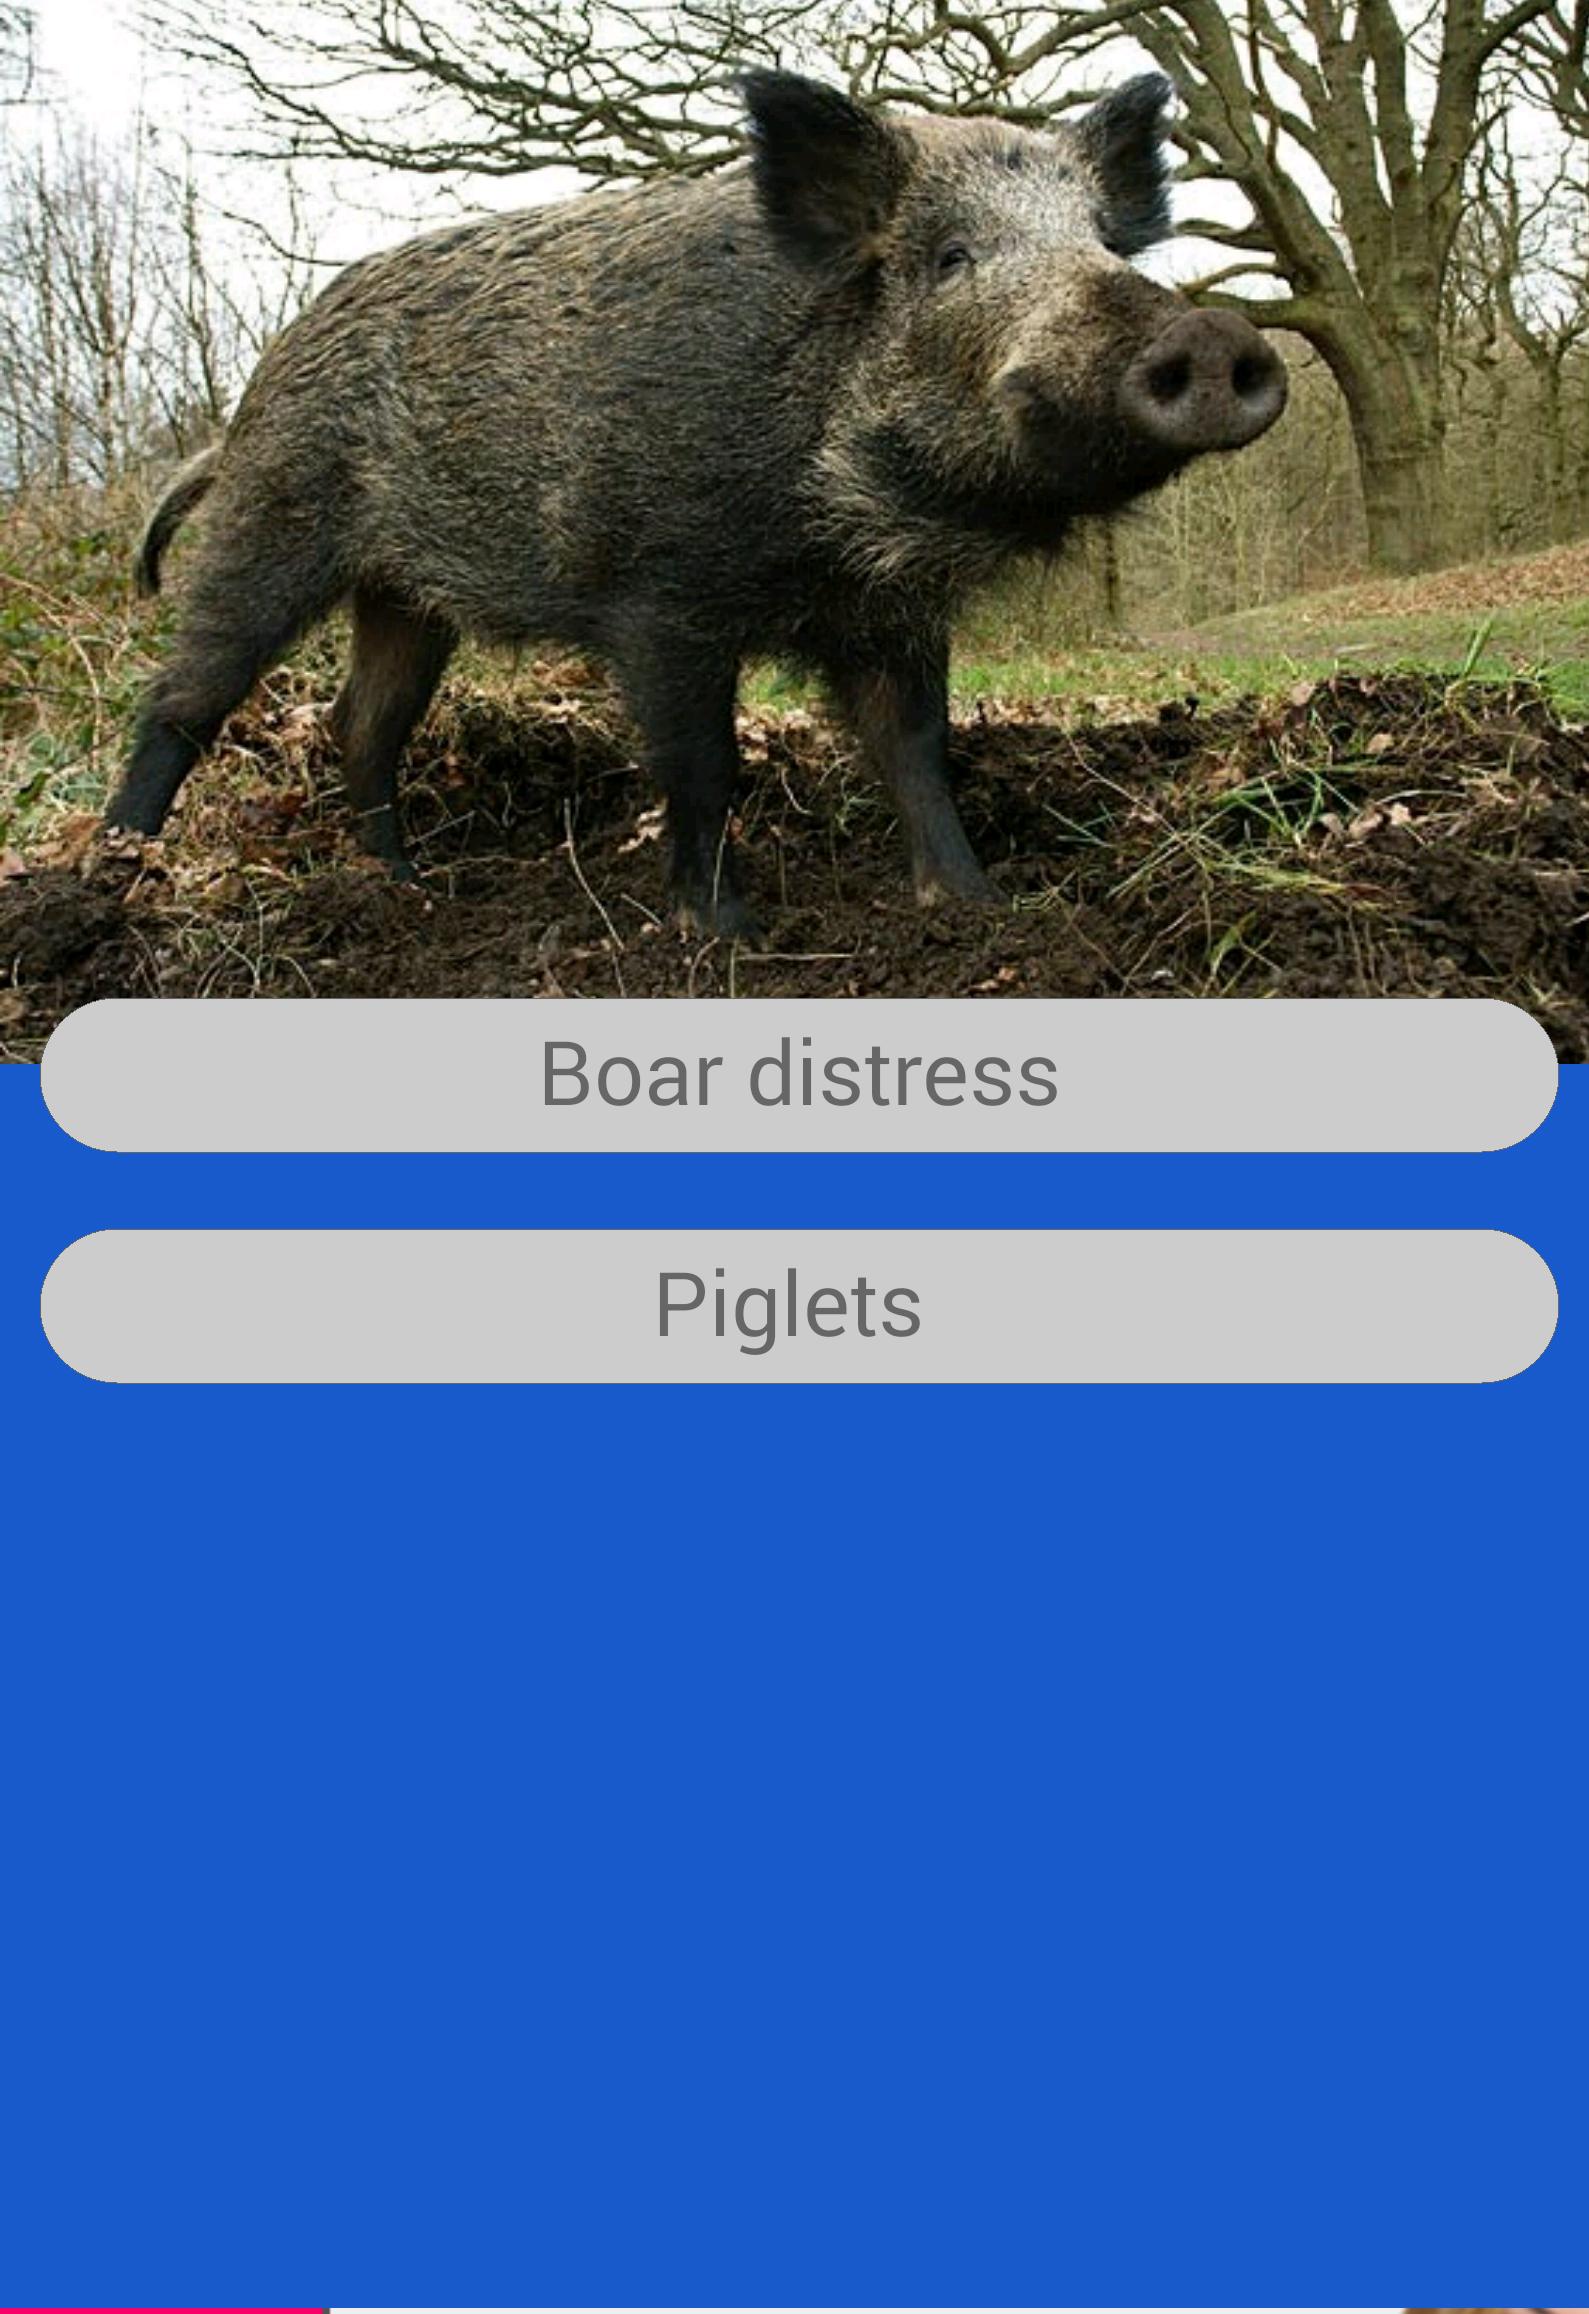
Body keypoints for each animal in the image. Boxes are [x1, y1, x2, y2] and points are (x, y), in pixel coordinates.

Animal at [107, 70, 1286, 937]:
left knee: (365, 721)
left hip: (404, 596)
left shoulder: (890, 615)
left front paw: (977, 907)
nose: (1210, 333)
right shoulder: (656, 597)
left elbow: (916, 752)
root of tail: (257, 385)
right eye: (950, 256)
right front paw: (725, 937)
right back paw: (120, 869)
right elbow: (704, 765)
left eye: (1099, 242)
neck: (840, 523)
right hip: (274, 520)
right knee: (185, 698)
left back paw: (407, 887)